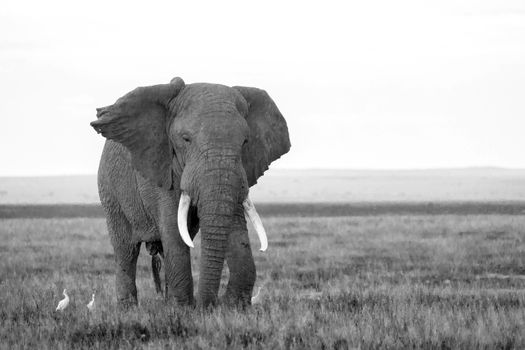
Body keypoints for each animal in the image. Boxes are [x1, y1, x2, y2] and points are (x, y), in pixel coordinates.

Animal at [91, 76, 290, 306]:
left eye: (245, 142)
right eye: (186, 139)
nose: (209, 305)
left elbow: (234, 226)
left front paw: (235, 307)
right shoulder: (161, 169)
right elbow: (173, 230)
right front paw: (185, 309)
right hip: (109, 191)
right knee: (126, 250)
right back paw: (129, 308)